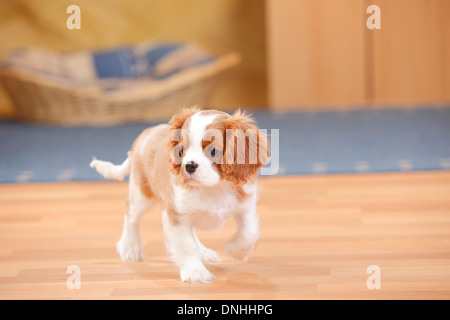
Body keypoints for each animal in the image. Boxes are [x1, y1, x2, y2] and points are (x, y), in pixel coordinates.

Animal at [89, 107, 268, 282]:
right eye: (182, 150)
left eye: (213, 151)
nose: (189, 166)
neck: (215, 187)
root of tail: (147, 133)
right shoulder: (177, 216)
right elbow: (186, 245)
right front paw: (195, 271)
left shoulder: (246, 206)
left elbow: (250, 232)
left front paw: (235, 250)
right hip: (142, 194)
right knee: (131, 216)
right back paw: (129, 247)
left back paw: (203, 252)